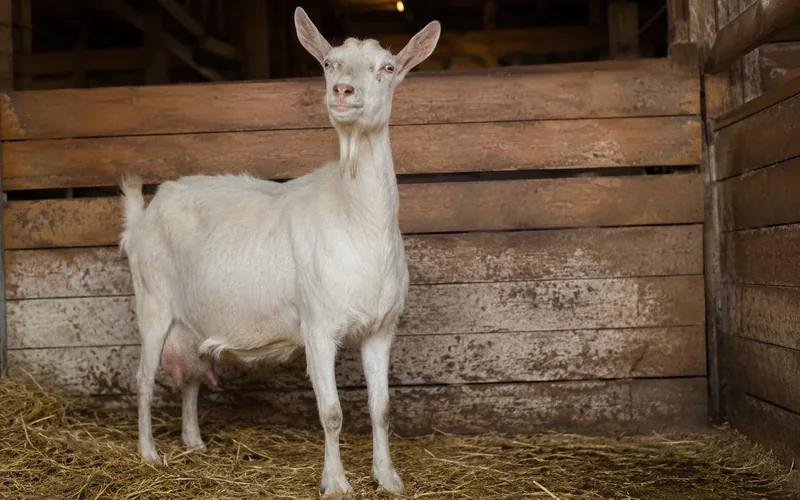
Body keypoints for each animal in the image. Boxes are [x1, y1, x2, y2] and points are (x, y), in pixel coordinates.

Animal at [119, 6, 441, 496]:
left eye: (387, 68)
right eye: (328, 63)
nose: (341, 91)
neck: (355, 221)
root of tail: (142, 215)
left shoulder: (382, 329)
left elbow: (382, 409)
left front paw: (388, 479)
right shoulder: (319, 326)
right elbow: (332, 413)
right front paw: (336, 483)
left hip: (190, 319)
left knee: (190, 377)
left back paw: (194, 443)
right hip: (152, 300)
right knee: (142, 380)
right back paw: (149, 455)